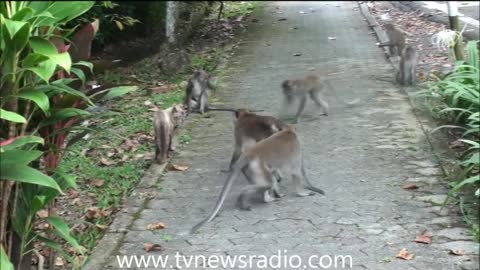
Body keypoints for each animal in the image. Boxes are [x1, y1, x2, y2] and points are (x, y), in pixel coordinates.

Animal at [191, 125, 326, 233]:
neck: (287, 132)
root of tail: (249, 153)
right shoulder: (296, 149)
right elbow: (296, 172)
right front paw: (303, 193)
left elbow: (276, 173)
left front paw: (278, 193)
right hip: (256, 166)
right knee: (267, 183)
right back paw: (243, 197)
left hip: (249, 169)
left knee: (268, 181)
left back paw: (266, 198)